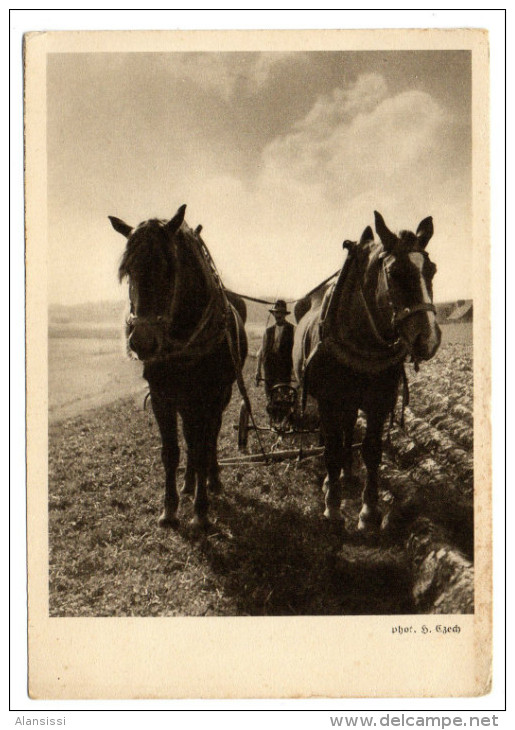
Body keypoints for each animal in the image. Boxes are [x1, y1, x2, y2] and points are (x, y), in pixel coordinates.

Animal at [109, 202, 248, 528]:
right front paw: (170, 508)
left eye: (169, 268)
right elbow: (171, 451)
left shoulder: (209, 398)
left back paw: (211, 480)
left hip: (218, 398)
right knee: (190, 439)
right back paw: (188, 483)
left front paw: (201, 511)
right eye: (128, 271)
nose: (143, 342)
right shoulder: (163, 397)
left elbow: (203, 446)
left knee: (208, 439)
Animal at [292, 210, 442, 528]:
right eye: (395, 273)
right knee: (335, 438)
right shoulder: (329, 400)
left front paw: (369, 512)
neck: (362, 338)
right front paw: (333, 507)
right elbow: (332, 448)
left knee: (349, 429)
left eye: (431, 270)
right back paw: (332, 480)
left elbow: (372, 450)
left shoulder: (380, 401)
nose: (430, 339)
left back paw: (347, 473)